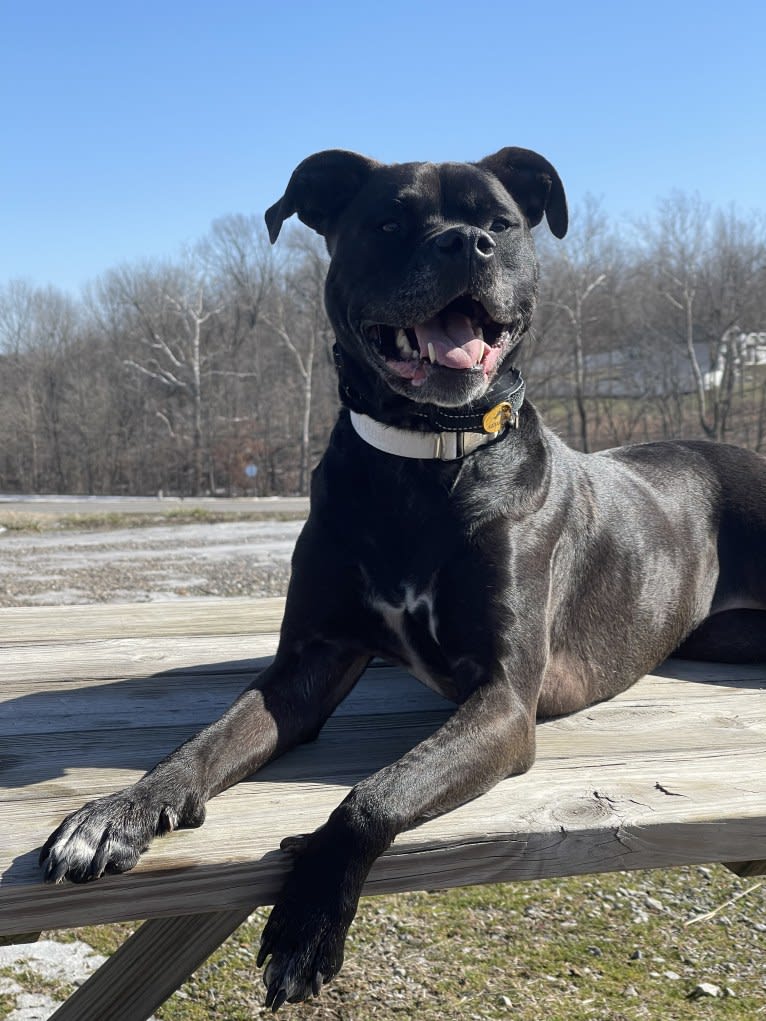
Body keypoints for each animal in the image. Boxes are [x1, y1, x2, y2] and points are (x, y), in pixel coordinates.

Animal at [40, 148, 766, 1008]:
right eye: (388, 222)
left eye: (499, 223)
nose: (465, 245)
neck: (422, 465)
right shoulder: (309, 663)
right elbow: (206, 740)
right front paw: (119, 810)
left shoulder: (504, 701)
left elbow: (371, 795)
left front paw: (307, 922)